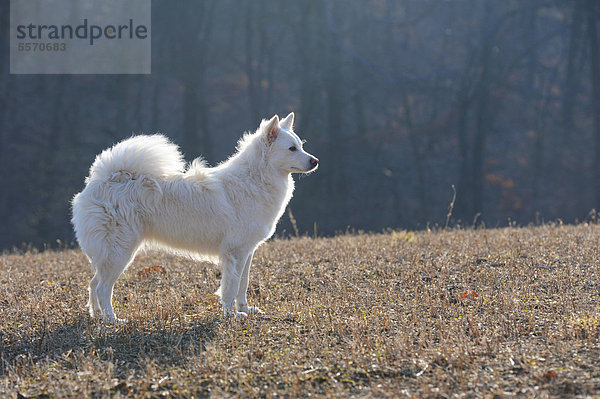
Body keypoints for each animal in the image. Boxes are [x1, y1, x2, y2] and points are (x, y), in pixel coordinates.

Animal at [71, 112, 318, 322]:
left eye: (301, 146)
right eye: (291, 148)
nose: (315, 161)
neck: (256, 178)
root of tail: (105, 179)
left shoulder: (247, 252)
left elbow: (243, 284)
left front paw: (246, 310)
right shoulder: (234, 253)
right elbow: (230, 287)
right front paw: (231, 315)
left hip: (111, 255)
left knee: (93, 283)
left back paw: (97, 316)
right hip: (120, 252)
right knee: (103, 288)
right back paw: (112, 320)